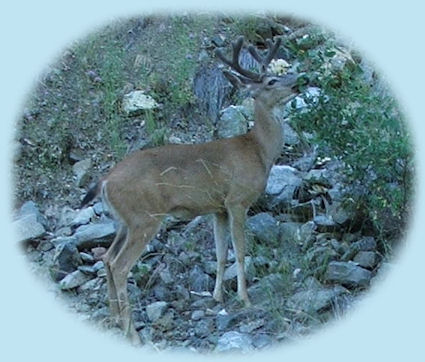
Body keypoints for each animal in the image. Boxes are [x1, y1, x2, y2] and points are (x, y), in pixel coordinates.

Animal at [79, 36, 298, 346]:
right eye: (271, 81)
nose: (298, 84)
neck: (259, 151)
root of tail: (105, 181)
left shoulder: (218, 208)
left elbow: (220, 253)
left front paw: (217, 296)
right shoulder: (238, 200)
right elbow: (240, 251)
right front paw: (245, 299)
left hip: (124, 221)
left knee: (107, 258)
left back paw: (114, 321)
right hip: (144, 218)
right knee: (120, 266)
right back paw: (133, 333)